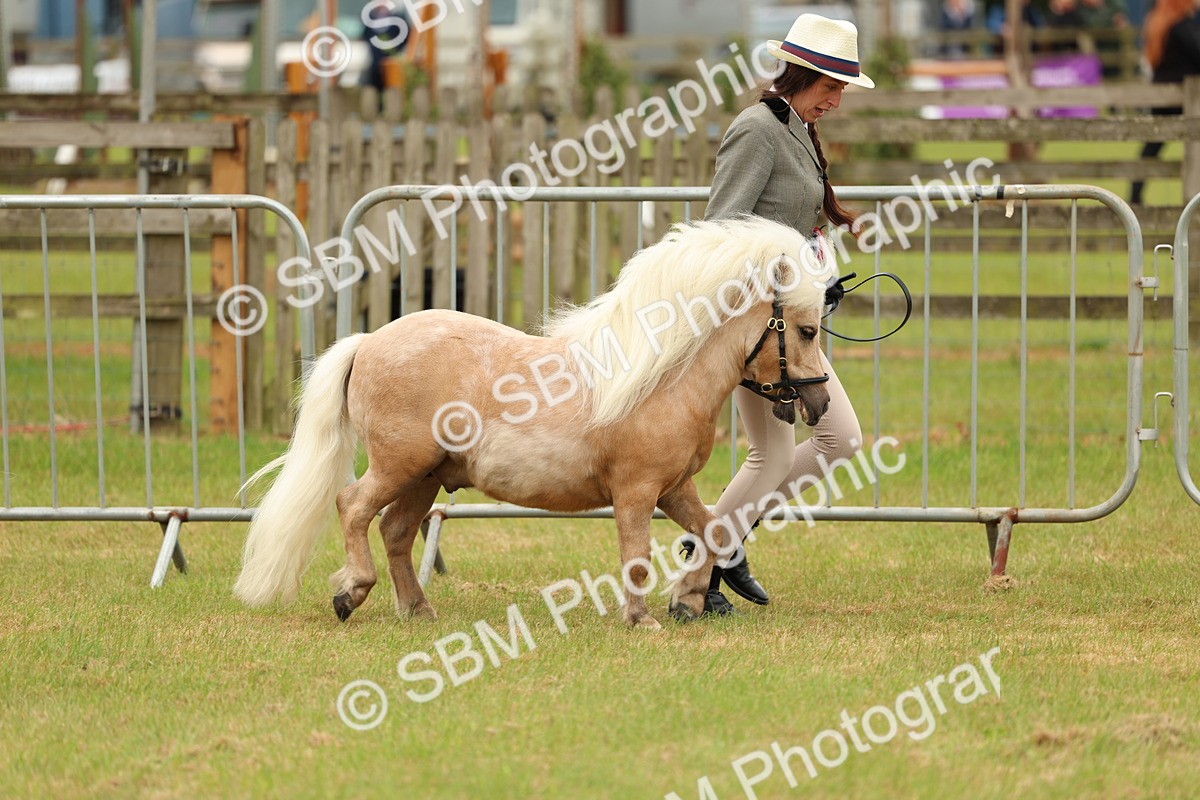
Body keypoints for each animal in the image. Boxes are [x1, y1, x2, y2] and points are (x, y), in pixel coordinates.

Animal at [233, 216, 834, 628]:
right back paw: (352, 592)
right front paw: (642, 619)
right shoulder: (636, 492)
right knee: (353, 507)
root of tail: (367, 342)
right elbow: (637, 557)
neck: (659, 377)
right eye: (806, 330)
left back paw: (418, 609)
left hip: (425, 477)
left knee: (396, 531)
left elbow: (712, 532)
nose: (820, 403)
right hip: (399, 465)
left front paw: (686, 601)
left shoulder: (674, 488)